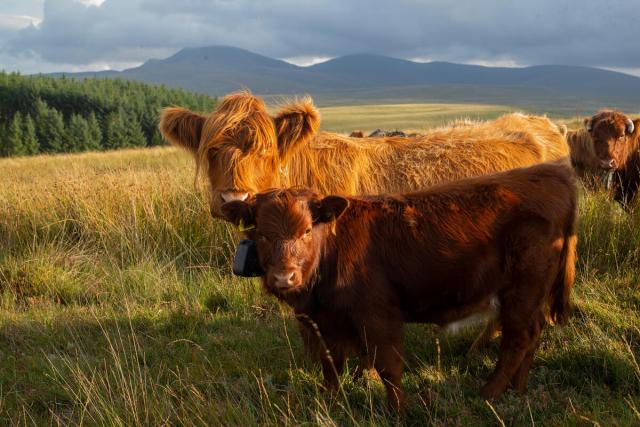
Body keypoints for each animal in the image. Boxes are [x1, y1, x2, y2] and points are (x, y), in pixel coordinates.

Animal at [221, 161, 577, 411]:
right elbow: (331, 365)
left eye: (307, 231)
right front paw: (329, 400)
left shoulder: (378, 315)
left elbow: (388, 367)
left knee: (518, 339)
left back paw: (489, 392)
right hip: (530, 297)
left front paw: (397, 411)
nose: (284, 278)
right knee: (531, 335)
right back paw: (517, 389)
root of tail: (551, 172)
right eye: (261, 233)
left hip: (522, 291)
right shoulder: (325, 322)